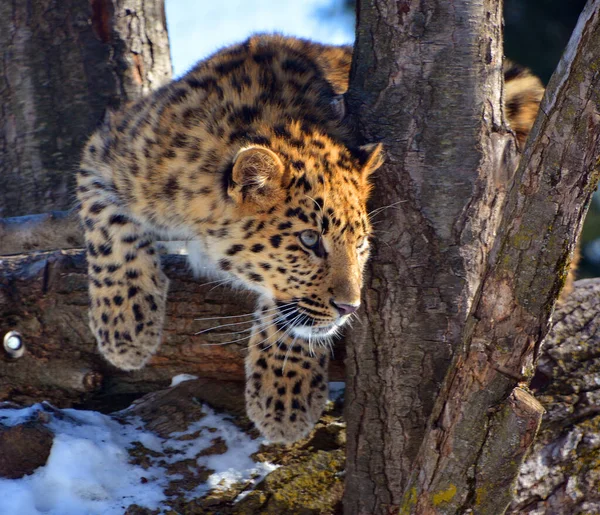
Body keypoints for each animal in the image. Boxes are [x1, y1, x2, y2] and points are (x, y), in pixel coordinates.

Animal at [75, 33, 544, 444]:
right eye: (308, 240)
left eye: (361, 244)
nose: (350, 307)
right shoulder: (108, 150)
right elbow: (109, 230)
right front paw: (126, 329)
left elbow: (295, 324)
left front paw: (284, 400)